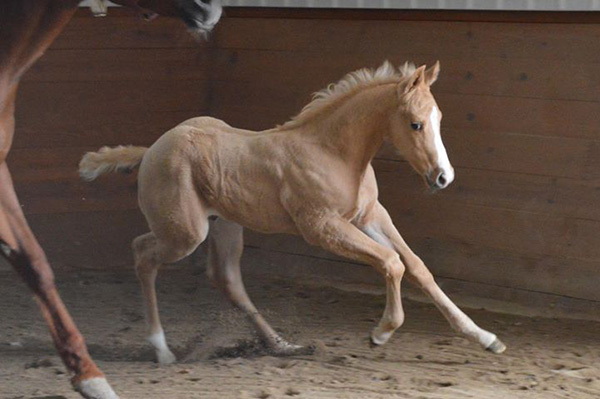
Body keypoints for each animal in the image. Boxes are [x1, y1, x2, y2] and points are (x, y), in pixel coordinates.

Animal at [77, 61, 504, 366]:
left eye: (439, 120)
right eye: (415, 124)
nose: (443, 177)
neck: (334, 152)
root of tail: (151, 149)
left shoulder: (369, 215)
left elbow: (416, 266)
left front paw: (485, 338)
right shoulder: (322, 226)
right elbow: (391, 262)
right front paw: (381, 332)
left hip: (225, 226)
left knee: (227, 279)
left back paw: (283, 345)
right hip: (185, 233)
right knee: (142, 253)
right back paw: (162, 350)